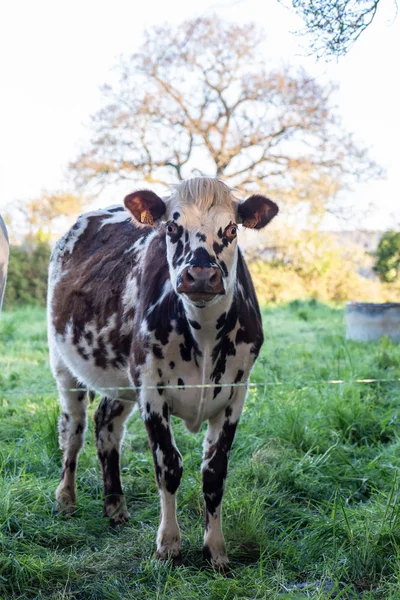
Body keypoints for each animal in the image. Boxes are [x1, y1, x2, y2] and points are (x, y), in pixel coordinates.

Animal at [47, 176, 278, 568]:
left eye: (231, 229)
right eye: (172, 227)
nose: (200, 275)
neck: (204, 337)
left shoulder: (235, 393)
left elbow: (214, 472)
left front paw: (216, 550)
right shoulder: (151, 389)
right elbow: (168, 465)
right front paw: (168, 544)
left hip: (120, 379)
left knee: (106, 425)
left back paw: (115, 505)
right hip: (64, 364)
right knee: (73, 430)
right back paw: (65, 498)